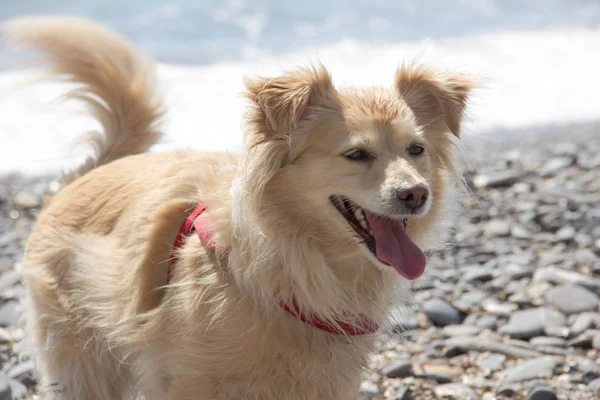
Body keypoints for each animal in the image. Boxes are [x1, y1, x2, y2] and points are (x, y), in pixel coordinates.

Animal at [4, 15, 474, 400]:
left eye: (416, 150)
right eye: (356, 154)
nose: (416, 194)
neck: (298, 260)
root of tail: (83, 177)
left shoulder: (329, 379)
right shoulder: (192, 382)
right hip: (83, 361)